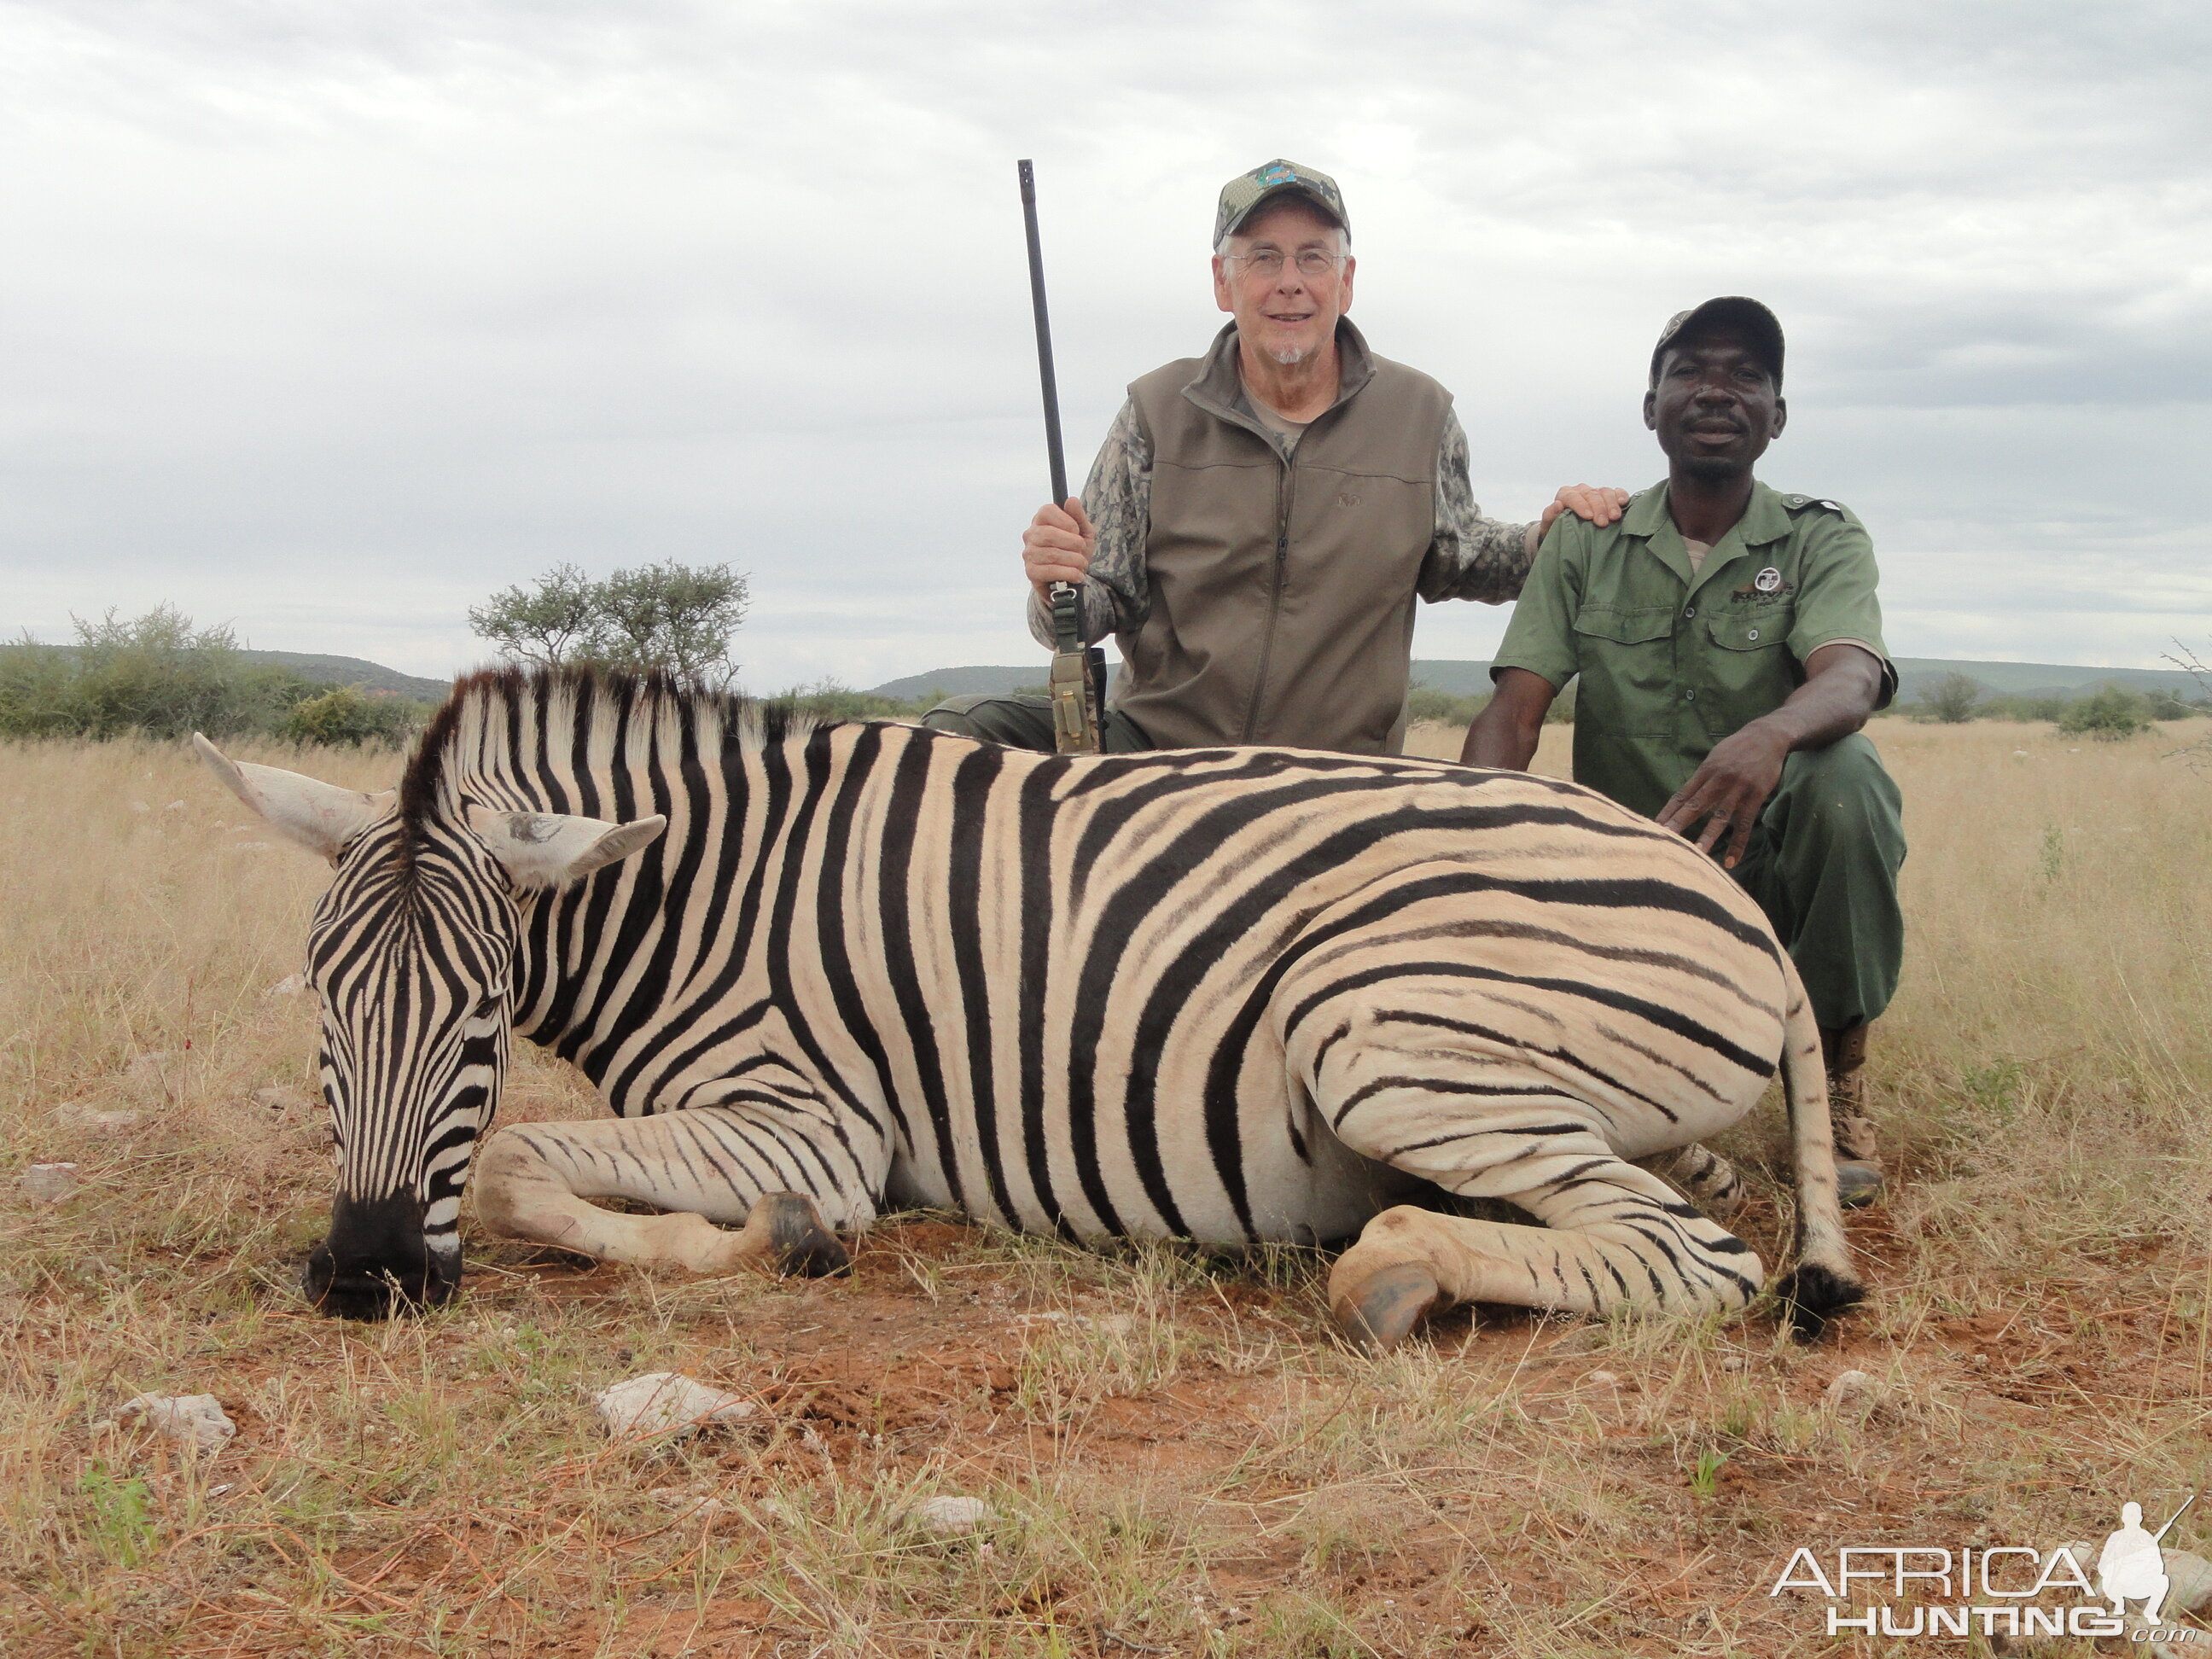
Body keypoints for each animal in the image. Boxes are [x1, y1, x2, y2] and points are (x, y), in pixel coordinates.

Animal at [199, 667, 1866, 1353]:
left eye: (482, 1014)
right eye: (323, 1003)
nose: (360, 1279)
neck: (699, 896)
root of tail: (1740, 910)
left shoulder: (811, 1120)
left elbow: (520, 1163)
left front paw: (775, 1242)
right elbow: (525, 1165)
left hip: (1372, 1036)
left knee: (1696, 1251)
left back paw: (1398, 1266)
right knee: (1699, 1188)